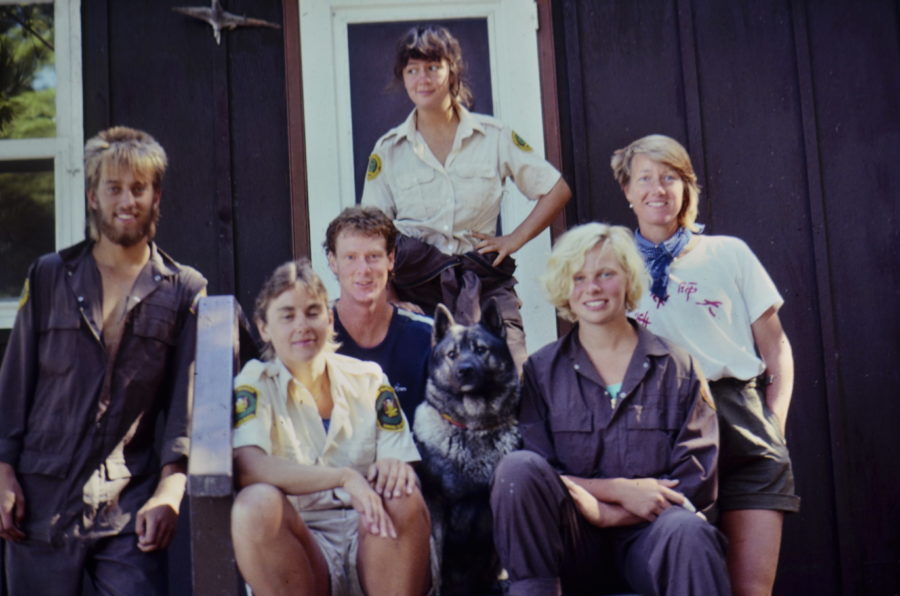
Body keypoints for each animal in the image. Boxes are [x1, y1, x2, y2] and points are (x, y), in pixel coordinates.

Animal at [414, 300, 520, 592]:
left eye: (481, 350)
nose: (465, 370)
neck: (474, 428)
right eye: (452, 354)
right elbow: (435, 564)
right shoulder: (435, 506)